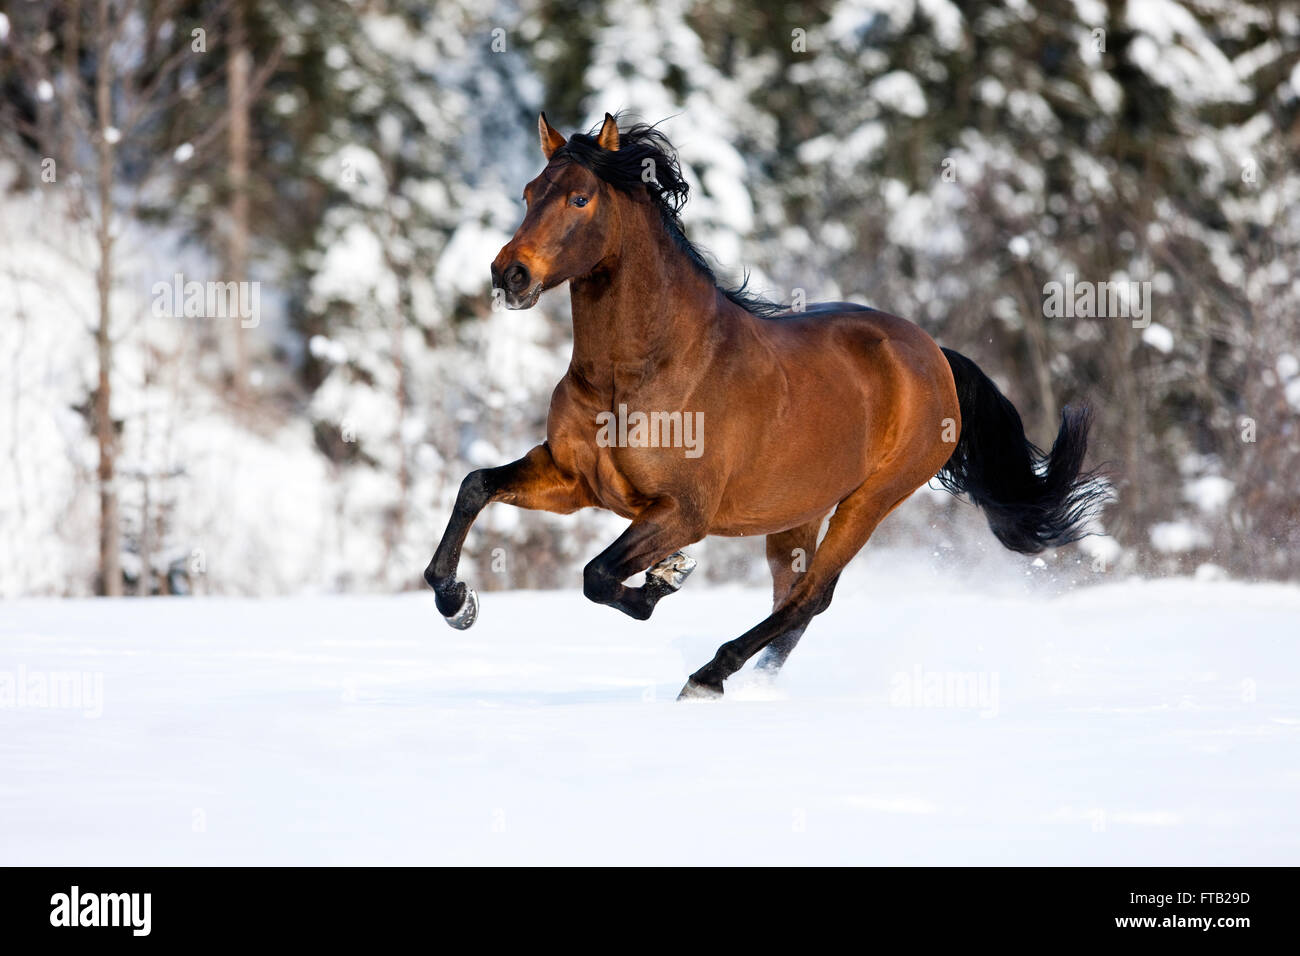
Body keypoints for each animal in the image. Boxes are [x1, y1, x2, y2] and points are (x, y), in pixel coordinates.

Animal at [423, 113, 1097, 702]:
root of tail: (933, 354)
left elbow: (598, 576)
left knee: (811, 596)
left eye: (581, 199)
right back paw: (753, 681)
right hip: (797, 512)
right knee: (793, 602)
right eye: (529, 192)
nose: (509, 274)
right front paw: (457, 603)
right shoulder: (573, 481)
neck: (639, 373)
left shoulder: (684, 511)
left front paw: (665, 578)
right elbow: (475, 486)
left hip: (871, 499)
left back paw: (707, 679)